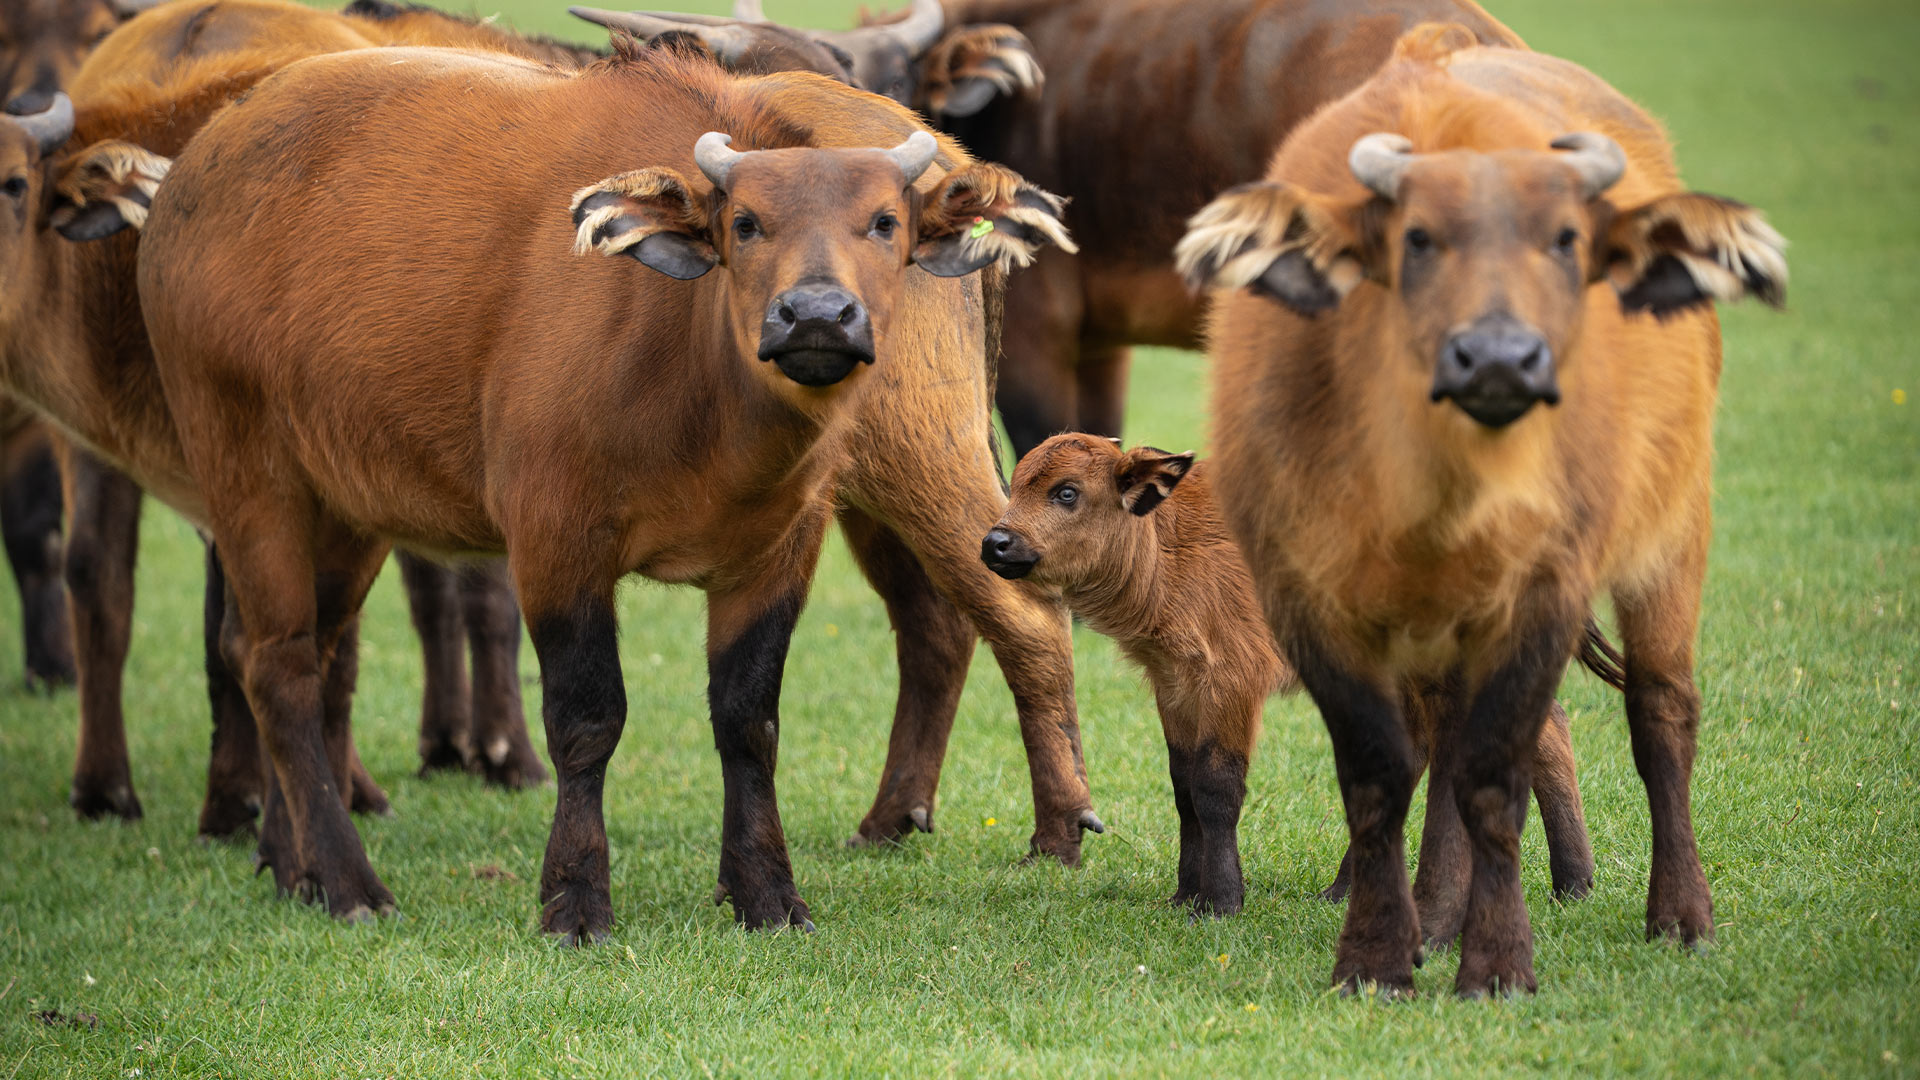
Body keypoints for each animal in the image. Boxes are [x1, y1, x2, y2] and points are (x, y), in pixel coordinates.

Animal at [136, 42, 1074, 933]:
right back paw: (344, 879)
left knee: (298, 648)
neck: (693, 380)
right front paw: (576, 897)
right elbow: (586, 720)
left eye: (885, 222)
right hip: (246, 472)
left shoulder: (779, 549)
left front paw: (764, 891)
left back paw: (289, 861)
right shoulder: (554, 539)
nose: (815, 315)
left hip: (347, 504)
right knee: (278, 666)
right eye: (745, 222)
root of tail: (195, 165)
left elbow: (749, 720)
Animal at [983, 434, 1595, 917]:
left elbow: (1216, 788)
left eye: (1067, 492)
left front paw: (1220, 903)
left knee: (1545, 731)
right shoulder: (1175, 681)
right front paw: (1184, 896)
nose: (995, 543)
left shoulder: (1232, 678)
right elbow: (1183, 786)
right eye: (1017, 482)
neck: (1167, 547)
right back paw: (1345, 890)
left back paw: (1574, 886)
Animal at [1175, 24, 1787, 995]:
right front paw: (1378, 954)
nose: (1500, 358)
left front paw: (1497, 962)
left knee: (1661, 714)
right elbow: (1378, 774)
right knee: (1444, 746)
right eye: (1418, 239)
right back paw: (1436, 911)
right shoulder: (1305, 597)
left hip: (1673, 534)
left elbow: (1496, 774)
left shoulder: (1544, 592)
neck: (1431, 488)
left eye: (1568, 240)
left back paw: (1679, 914)